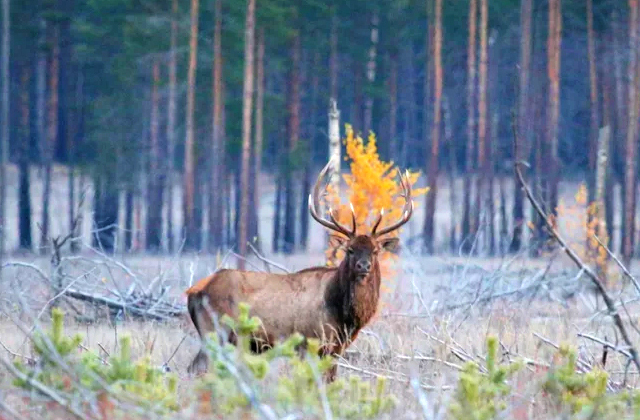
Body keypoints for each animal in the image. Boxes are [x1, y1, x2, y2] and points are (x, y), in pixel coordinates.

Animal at [185, 158, 416, 380]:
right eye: (350, 250)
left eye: (375, 251)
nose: (363, 265)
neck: (343, 313)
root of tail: (194, 291)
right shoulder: (309, 341)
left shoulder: (336, 348)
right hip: (216, 330)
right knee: (199, 368)